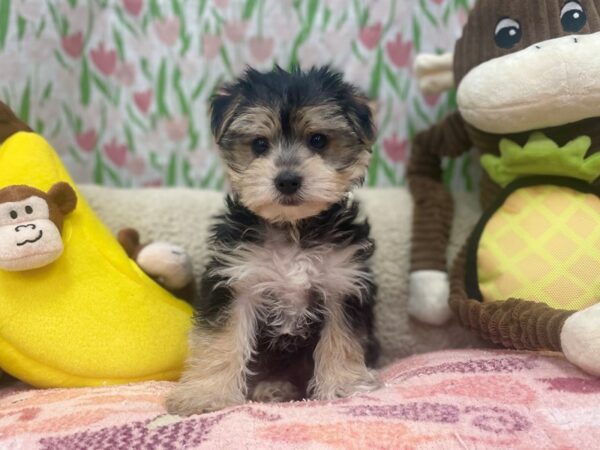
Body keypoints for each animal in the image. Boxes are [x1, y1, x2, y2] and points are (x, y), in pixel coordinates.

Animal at [164, 66, 380, 414]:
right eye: (260, 145)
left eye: (318, 140)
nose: (287, 180)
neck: (292, 227)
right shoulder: (237, 279)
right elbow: (221, 339)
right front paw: (205, 394)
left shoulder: (342, 281)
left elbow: (342, 338)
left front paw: (343, 386)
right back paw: (272, 387)